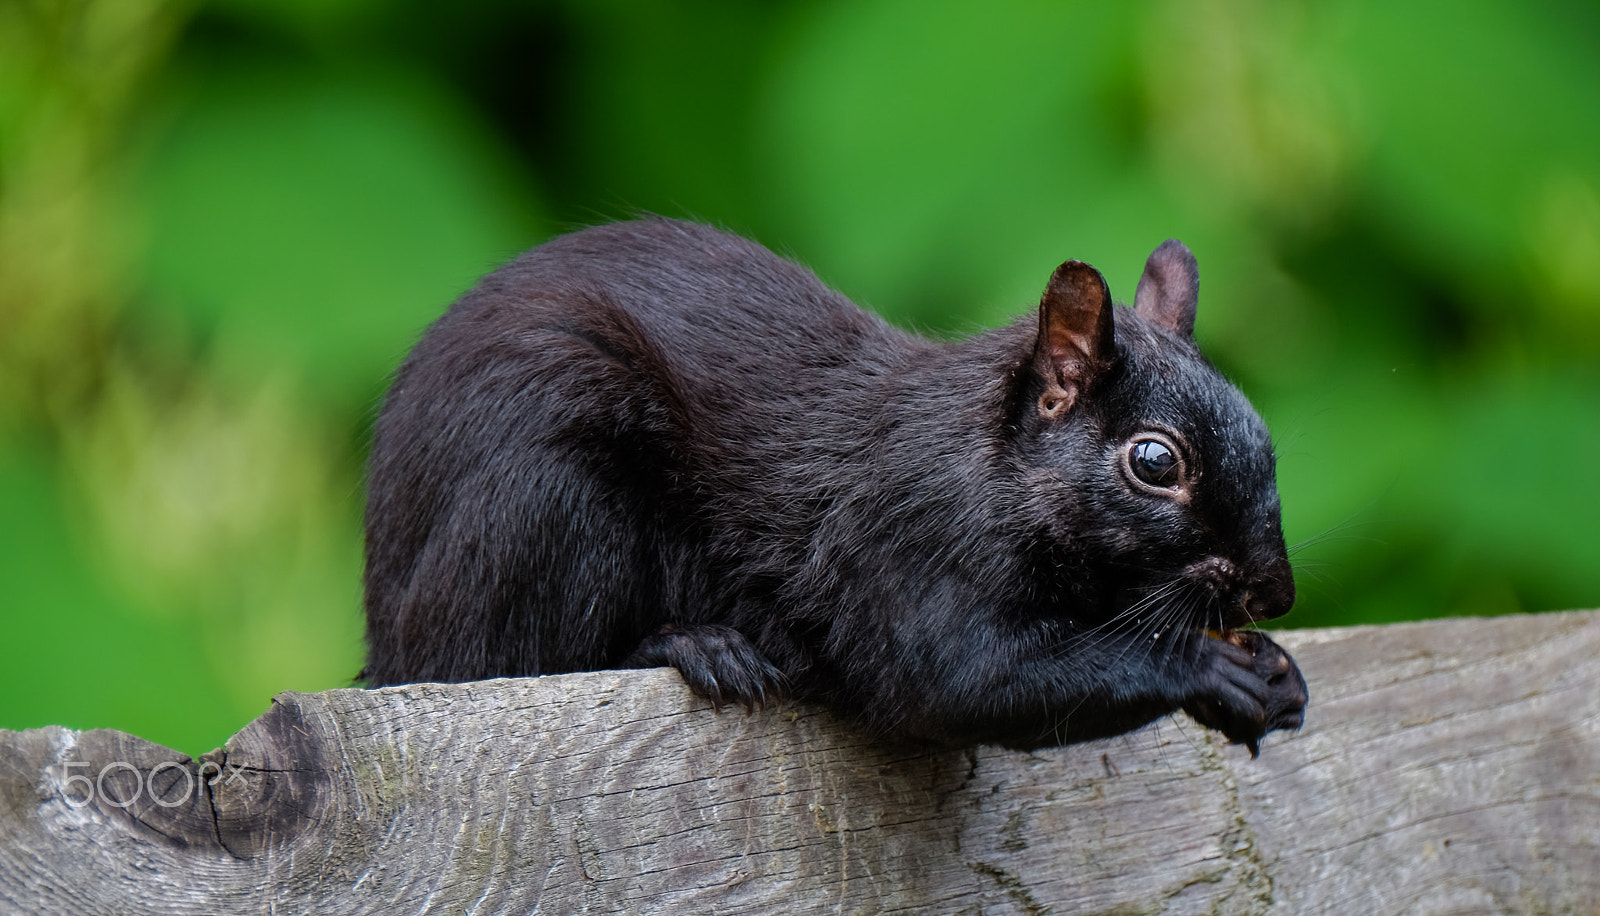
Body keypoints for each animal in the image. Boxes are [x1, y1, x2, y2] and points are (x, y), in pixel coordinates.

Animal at [366, 217, 1312, 755]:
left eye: (1267, 438)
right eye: (1155, 463)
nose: (1274, 592)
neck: (987, 463)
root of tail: (382, 636)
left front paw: (1271, 672)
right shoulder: (906, 538)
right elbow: (956, 682)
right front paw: (1211, 670)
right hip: (549, 486)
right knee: (495, 660)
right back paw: (694, 643)